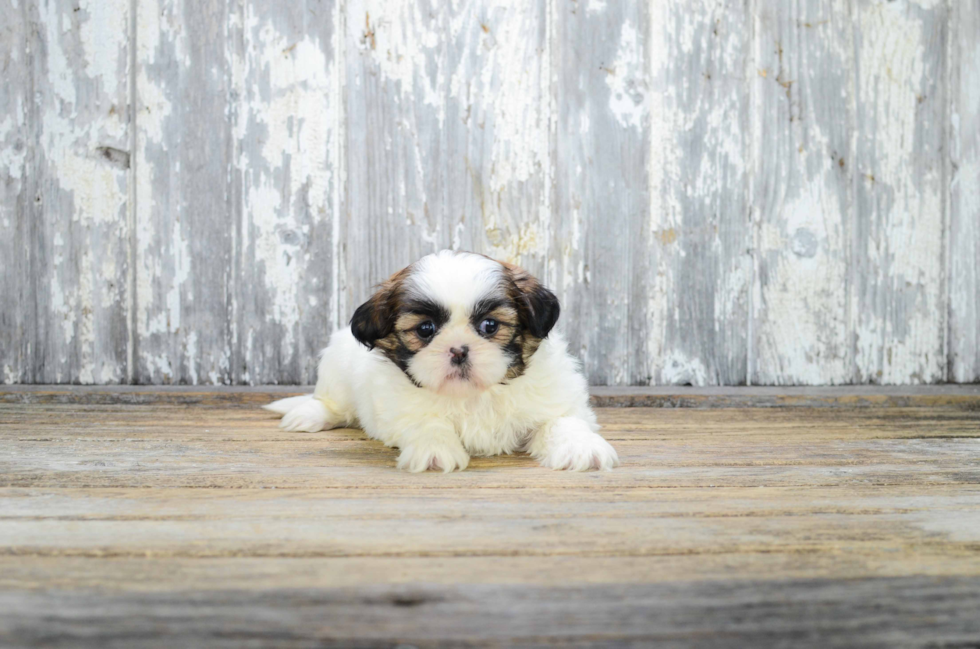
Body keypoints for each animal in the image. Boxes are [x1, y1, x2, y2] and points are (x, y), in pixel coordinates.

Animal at [266, 252, 620, 470]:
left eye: (490, 326)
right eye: (426, 329)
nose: (458, 350)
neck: (475, 394)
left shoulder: (559, 399)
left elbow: (563, 421)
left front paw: (581, 447)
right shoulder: (400, 408)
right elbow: (427, 422)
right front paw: (434, 451)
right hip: (336, 367)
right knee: (333, 403)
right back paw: (309, 415)